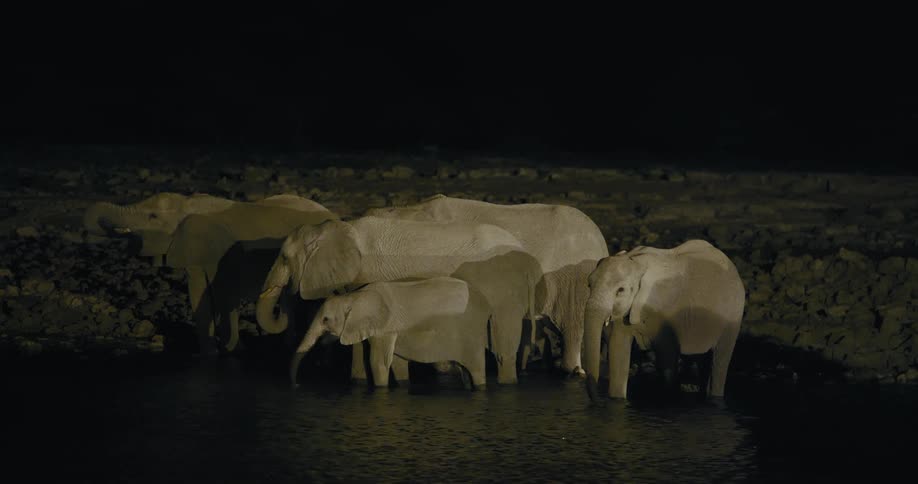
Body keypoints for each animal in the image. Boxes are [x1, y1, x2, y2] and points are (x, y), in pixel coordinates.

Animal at [83, 192, 337, 354]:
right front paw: (217, 352)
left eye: (153, 217)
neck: (186, 204)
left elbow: (214, 293)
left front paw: (224, 351)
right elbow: (204, 294)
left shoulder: (215, 249)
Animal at [290, 277, 492, 390]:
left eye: (325, 319)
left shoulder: (384, 328)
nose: (298, 385)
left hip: (472, 334)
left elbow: (377, 362)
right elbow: (397, 363)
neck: (354, 297)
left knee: (476, 370)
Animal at [582, 239, 746, 401]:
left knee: (719, 360)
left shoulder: (668, 313)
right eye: (589, 284)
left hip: (734, 313)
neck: (636, 262)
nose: (597, 400)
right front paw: (617, 401)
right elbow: (618, 349)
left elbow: (667, 357)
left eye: (620, 290)